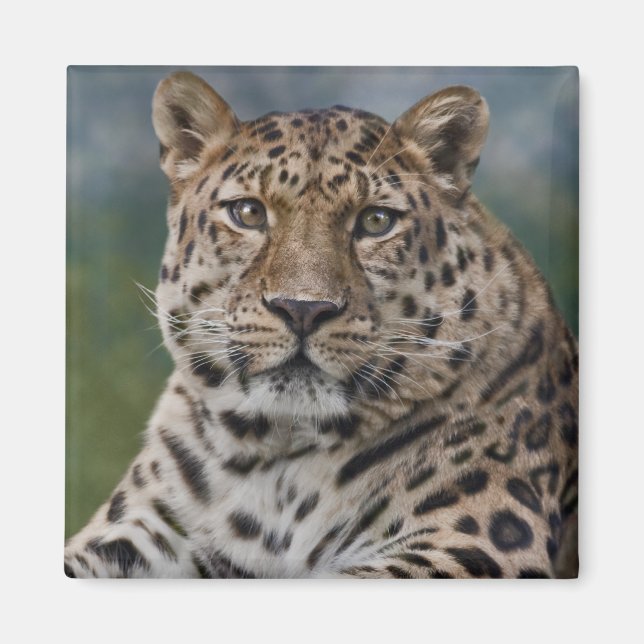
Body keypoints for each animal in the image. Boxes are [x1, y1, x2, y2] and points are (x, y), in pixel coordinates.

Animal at [64, 71, 578, 579]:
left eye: (376, 220)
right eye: (248, 212)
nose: (302, 309)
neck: (278, 462)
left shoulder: (472, 544)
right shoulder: (139, 528)